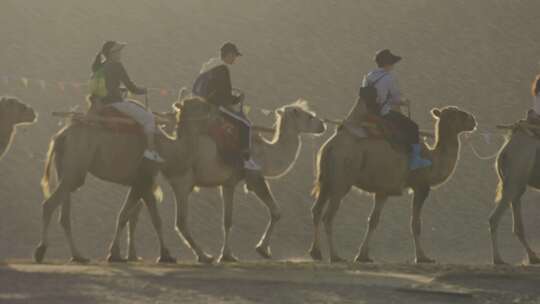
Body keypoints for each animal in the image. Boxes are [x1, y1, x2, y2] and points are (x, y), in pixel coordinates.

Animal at [121, 98, 324, 262]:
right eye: (308, 116)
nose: (323, 125)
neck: (266, 153)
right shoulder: (254, 176)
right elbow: (276, 212)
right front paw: (262, 249)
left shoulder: (228, 183)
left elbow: (227, 220)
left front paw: (227, 255)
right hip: (182, 180)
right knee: (180, 221)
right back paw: (201, 256)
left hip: (152, 177)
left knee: (137, 209)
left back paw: (137, 254)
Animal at [308, 101, 476, 262]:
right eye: (455, 114)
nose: (473, 120)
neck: (432, 160)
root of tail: (329, 147)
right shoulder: (421, 186)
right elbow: (415, 224)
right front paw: (422, 257)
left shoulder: (383, 190)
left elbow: (373, 221)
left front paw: (363, 256)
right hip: (341, 180)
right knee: (328, 216)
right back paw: (335, 256)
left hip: (326, 180)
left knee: (316, 210)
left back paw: (315, 252)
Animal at [488, 127, 540, 264]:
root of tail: (503, 152)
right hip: (516, 175)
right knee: (494, 218)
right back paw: (498, 259)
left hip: (516, 182)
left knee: (517, 226)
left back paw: (532, 257)